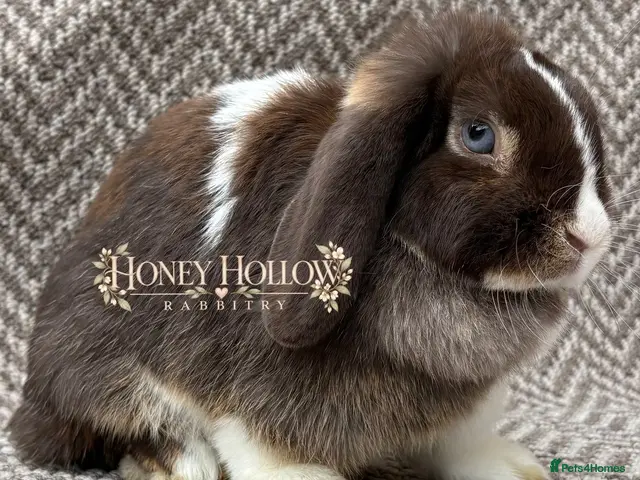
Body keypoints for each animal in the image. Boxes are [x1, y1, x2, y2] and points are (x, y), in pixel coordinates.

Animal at [8, 10, 612, 480]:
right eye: (478, 135)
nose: (590, 235)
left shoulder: (467, 401)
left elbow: (461, 443)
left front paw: (510, 465)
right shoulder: (253, 386)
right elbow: (259, 440)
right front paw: (305, 473)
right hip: (99, 363)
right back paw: (179, 462)